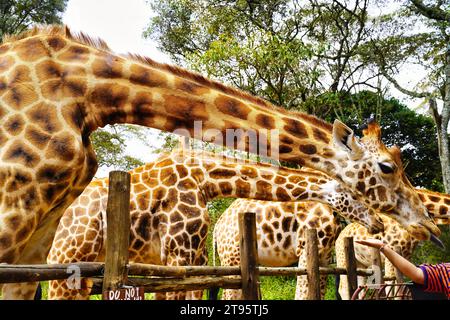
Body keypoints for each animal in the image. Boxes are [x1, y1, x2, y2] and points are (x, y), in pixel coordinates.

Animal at [39, 149, 380, 300]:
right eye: (358, 193)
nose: (377, 222)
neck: (205, 180)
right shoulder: (178, 255)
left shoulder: (192, 257)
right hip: (67, 260)